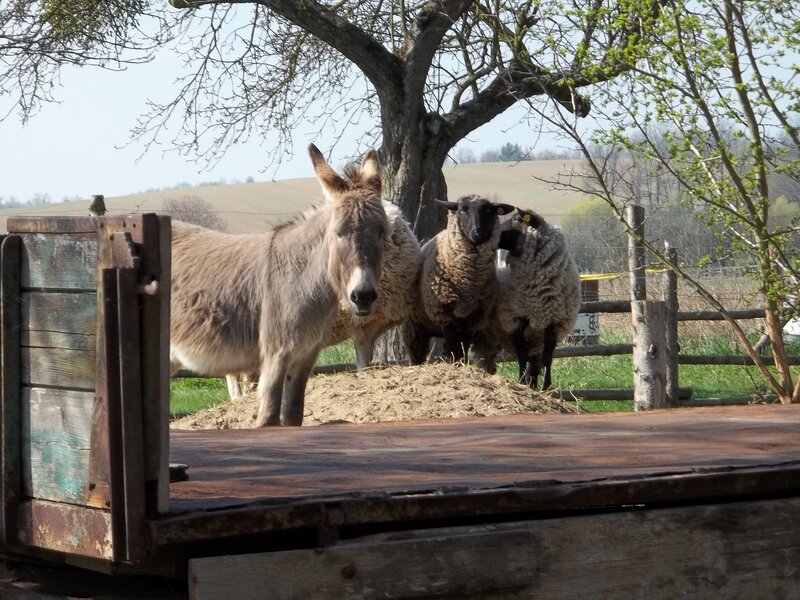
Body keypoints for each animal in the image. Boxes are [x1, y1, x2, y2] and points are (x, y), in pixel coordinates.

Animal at [403, 195, 515, 364]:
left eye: (489, 210)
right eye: (462, 210)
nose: (477, 233)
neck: (468, 281)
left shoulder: (474, 318)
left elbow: (462, 347)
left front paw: (460, 363)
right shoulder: (446, 315)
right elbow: (452, 347)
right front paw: (452, 363)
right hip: (414, 325)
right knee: (416, 352)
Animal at [474, 208, 581, 389]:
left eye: (516, 220)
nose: (487, 234)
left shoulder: (553, 321)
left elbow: (548, 357)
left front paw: (546, 386)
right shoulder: (516, 319)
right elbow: (521, 354)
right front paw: (522, 381)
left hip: (531, 339)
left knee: (533, 364)